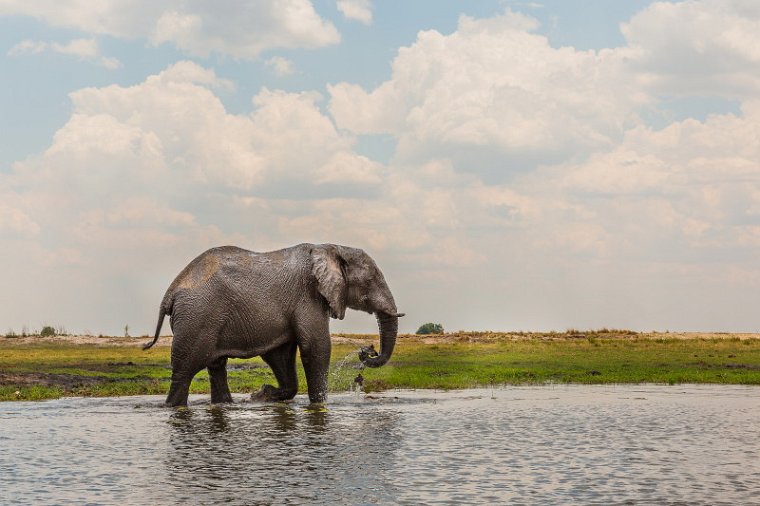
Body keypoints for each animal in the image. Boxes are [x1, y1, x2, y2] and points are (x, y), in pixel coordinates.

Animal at [142, 243, 404, 406]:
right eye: (371, 281)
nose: (366, 351)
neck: (333, 248)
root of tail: (171, 291)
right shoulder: (308, 296)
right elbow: (316, 347)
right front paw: (319, 404)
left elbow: (280, 354)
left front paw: (260, 395)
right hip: (197, 317)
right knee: (184, 371)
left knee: (216, 366)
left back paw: (226, 404)